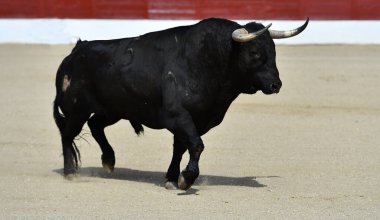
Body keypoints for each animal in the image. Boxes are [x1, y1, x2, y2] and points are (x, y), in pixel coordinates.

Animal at [53, 18, 308, 190]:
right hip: (77, 109)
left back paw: (109, 161)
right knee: (68, 134)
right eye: (254, 52)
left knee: (96, 125)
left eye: (273, 51)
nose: (276, 84)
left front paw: (171, 178)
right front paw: (186, 179)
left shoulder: (196, 120)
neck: (209, 61)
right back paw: (70, 172)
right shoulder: (178, 116)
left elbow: (181, 147)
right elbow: (196, 145)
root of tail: (76, 50)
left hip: (113, 109)